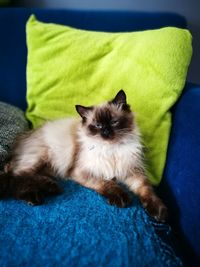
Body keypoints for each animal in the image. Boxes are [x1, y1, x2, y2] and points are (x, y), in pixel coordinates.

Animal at [0, 91, 167, 223]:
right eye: (98, 126)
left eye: (114, 122)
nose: (106, 132)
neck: (111, 149)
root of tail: (22, 138)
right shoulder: (82, 172)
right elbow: (107, 184)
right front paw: (121, 198)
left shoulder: (131, 171)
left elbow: (146, 190)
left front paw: (159, 213)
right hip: (41, 157)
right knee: (16, 177)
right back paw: (38, 195)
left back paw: (48, 187)